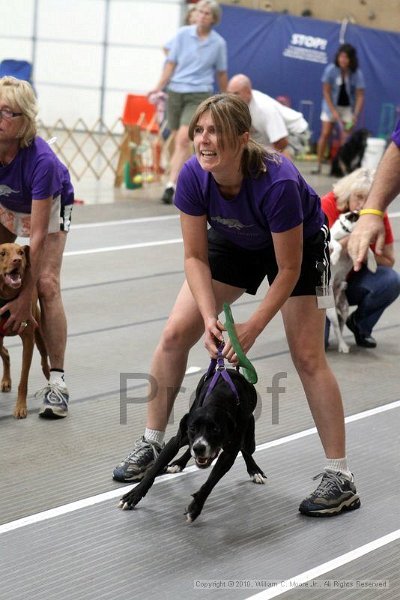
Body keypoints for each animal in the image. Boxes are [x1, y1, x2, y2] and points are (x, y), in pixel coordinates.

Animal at [0, 243, 49, 418]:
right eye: (2, 253)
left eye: (21, 252)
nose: (17, 260)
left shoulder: (29, 339)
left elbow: (23, 379)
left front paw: (21, 407)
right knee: (5, 352)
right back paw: (5, 380)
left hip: (39, 335)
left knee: (44, 359)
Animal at [119, 358, 266, 524]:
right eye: (192, 428)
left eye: (216, 429)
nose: (199, 448)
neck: (218, 399)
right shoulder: (177, 440)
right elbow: (154, 469)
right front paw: (134, 495)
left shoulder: (229, 453)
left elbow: (210, 483)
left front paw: (195, 508)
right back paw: (179, 463)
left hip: (248, 437)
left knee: (247, 448)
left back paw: (254, 470)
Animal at [326, 210, 376, 352]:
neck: (347, 231)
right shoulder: (332, 241)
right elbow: (337, 245)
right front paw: (334, 258)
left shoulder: (358, 244)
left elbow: (369, 252)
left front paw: (372, 265)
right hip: (331, 311)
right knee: (336, 328)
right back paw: (343, 346)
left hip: (344, 307)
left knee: (341, 326)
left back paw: (342, 345)